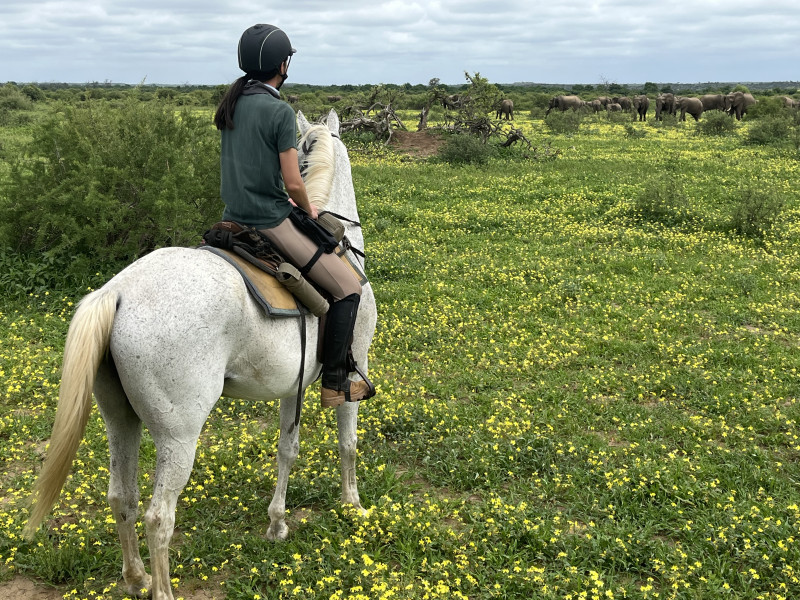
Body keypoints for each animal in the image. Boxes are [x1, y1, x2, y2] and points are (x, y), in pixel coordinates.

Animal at [24, 110, 376, 596]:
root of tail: (117, 293)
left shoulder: (294, 386)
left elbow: (287, 450)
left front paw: (277, 525)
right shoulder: (350, 374)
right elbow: (348, 443)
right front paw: (353, 506)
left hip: (120, 418)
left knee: (122, 497)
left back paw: (135, 577)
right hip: (179, 436)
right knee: (158, 518)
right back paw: (160, 587)